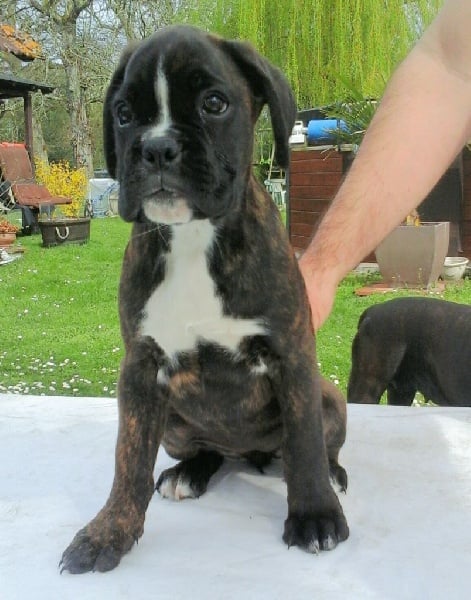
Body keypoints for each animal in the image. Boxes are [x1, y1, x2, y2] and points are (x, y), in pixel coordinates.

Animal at [60, 25, 348, 574]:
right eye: (123, 113)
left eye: (214, 103)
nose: (156, 147)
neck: (194, 234)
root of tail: (246, 454)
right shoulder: (140, 369)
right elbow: (128, 459)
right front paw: (109, 532)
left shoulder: (293, 355)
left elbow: (303, 441)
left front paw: (315, 514)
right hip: (173, 420)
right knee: (204, 451)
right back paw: (189, 473)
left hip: (329, 396)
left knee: (312, 447)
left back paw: (330, 475)